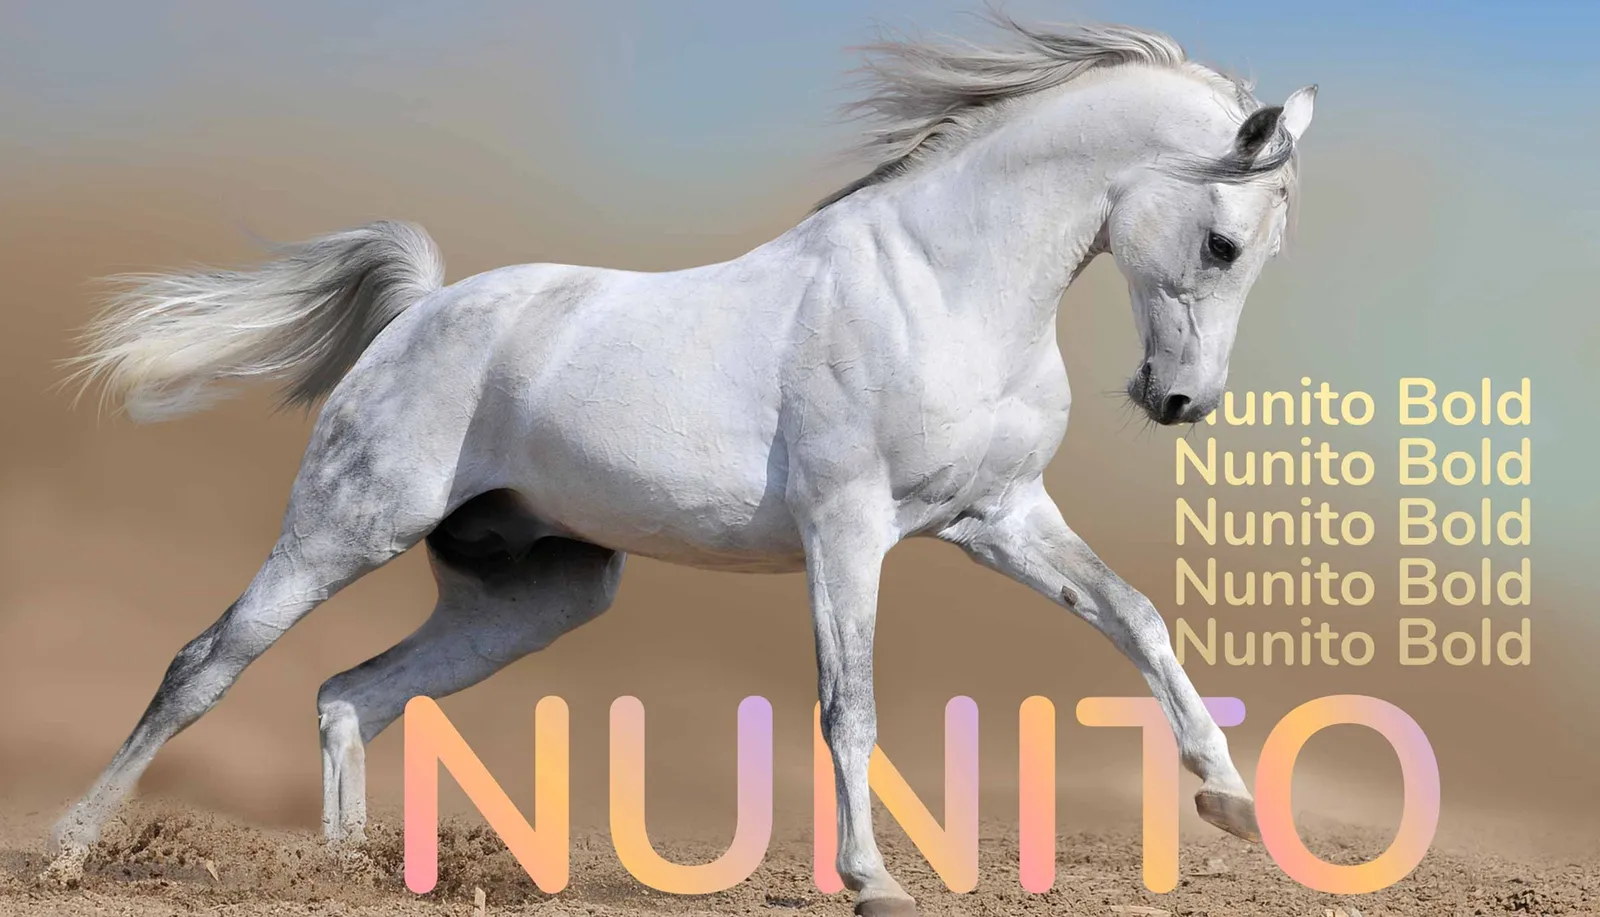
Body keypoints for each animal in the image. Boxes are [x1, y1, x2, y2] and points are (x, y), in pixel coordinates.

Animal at [52, 17, 1315, 915]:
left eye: (1261, 252)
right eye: (1222, 242)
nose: (1179, 402)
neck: (942, 284)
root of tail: (421, 310)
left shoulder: (998, 516)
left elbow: (1135, 617)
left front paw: (1230, 799)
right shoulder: (847, 528)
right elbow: (848, 703)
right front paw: (874, 882)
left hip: (536, 593)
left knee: (349, 693)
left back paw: (350, 871)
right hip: (341, 527)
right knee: (205, 665)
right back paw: (69, 847)